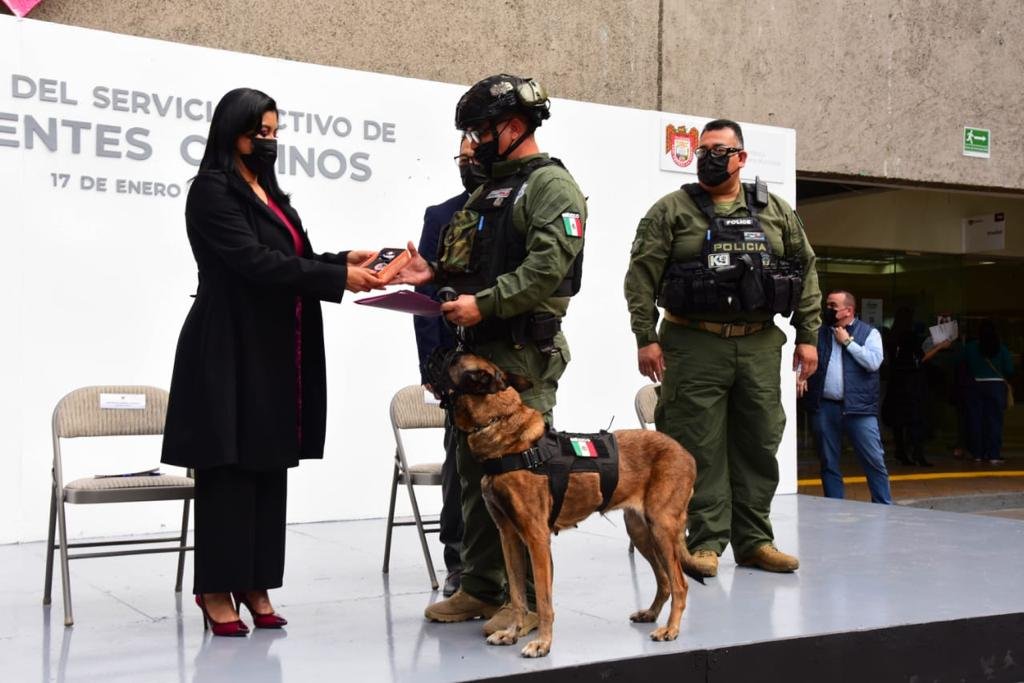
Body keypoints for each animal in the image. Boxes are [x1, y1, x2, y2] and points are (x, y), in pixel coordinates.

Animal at [444, 352, 700, 655]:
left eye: (460, 362)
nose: (442, 354)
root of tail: (685, 453)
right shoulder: (509, 537)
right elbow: (517, 595)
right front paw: (511, 633)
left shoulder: (537, 538)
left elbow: (543, 601)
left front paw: (542, 643)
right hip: (641, 532)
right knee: (664, 580)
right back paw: (651, 613)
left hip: (661, 528)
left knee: (680, 583)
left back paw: (671, 629)